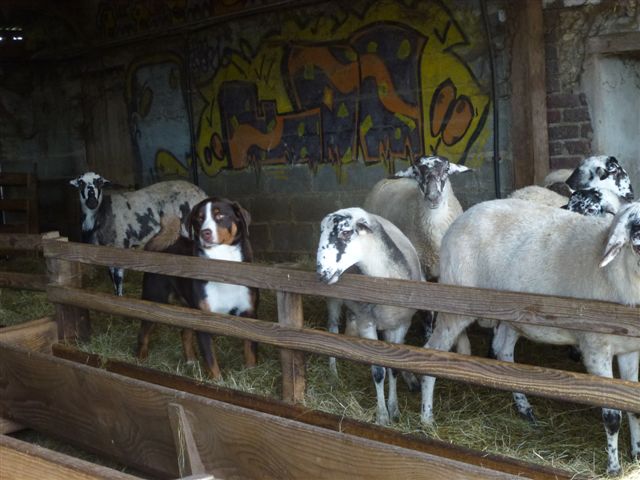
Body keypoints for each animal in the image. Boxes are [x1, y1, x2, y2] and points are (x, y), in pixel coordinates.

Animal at [69, 172, 207, 295]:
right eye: (80, 182)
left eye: (99, 182)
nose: (92, 202)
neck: (102, 212)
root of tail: (201, 193)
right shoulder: (107, 250)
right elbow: (112, 277)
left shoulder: (121, 245)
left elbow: (118, 278)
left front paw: (120, 298)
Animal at [136, 196, 259, 379]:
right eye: (199, 219)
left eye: (220, 215)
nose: (204, 233)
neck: (223, 269)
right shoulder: (204, 320)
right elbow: (211, 361)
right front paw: (217, 381)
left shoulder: (249, 315)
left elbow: (250, 353)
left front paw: (251, 375)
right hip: (154, 300)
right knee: (143, 333)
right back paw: (141, 359)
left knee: (184, 332)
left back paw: (191, 361)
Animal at [317, 207, 424, 425]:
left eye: (346, 232)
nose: (321, 273)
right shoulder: (367, 323)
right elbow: (378, 371)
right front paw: (382, 415)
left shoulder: (402, 324)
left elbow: (393, 368)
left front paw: (395, 409)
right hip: (334, 300)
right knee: (332, 329)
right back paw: (333, 374)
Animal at [420, 198, 640, 476]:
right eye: (635, 229)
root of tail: (463, 217)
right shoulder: (595, 349)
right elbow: (612, 416)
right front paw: (613, 468)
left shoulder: (631, 350)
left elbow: (633, 408)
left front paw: (636, 454)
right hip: (455, 304)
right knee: (431, 353)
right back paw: (426, 419)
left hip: (511, 313)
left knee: (504, 352)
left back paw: (525, 410)